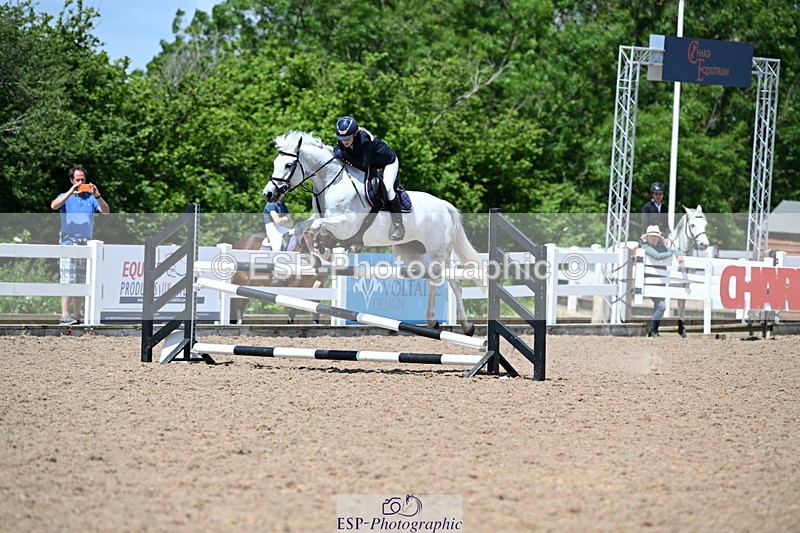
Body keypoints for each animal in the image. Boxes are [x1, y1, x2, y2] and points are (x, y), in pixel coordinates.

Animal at [262, 130, 486, 336]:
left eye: (288, 165)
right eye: (275, 163)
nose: (268, 194)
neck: (332, 183)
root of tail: (443, 204)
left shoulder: (346, 225)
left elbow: (317, 226)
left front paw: (321, 251)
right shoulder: (326, 222)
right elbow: (303, 227)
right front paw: (314, 256)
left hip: (439, 251)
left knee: (454, 282)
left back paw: (467, 326)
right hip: (410, 252)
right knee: (433, 279)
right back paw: (432, 321)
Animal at [667, 205, 710, 338]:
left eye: (705, 224)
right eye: (692, 225)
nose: (704, 244)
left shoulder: (683, 286)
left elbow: (682, 307)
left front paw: (683, 332)